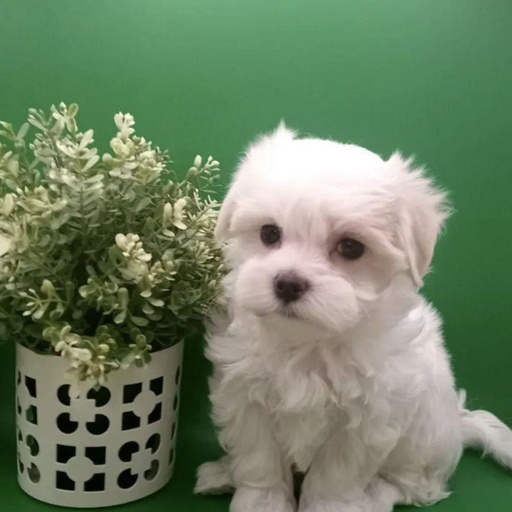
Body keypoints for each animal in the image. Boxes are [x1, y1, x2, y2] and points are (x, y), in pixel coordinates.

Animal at [195, 124, 512, 512]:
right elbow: (259, 457)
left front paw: (328, 506)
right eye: (269, 233)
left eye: (350, 247)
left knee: (412, 486)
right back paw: (222, 473)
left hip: (423, 443)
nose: (288, 283)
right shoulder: (244, 393)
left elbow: (335, 474)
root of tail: (458, 424)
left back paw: (374, 496)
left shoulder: (368, 419)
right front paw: (261, 501)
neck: (308, 341)